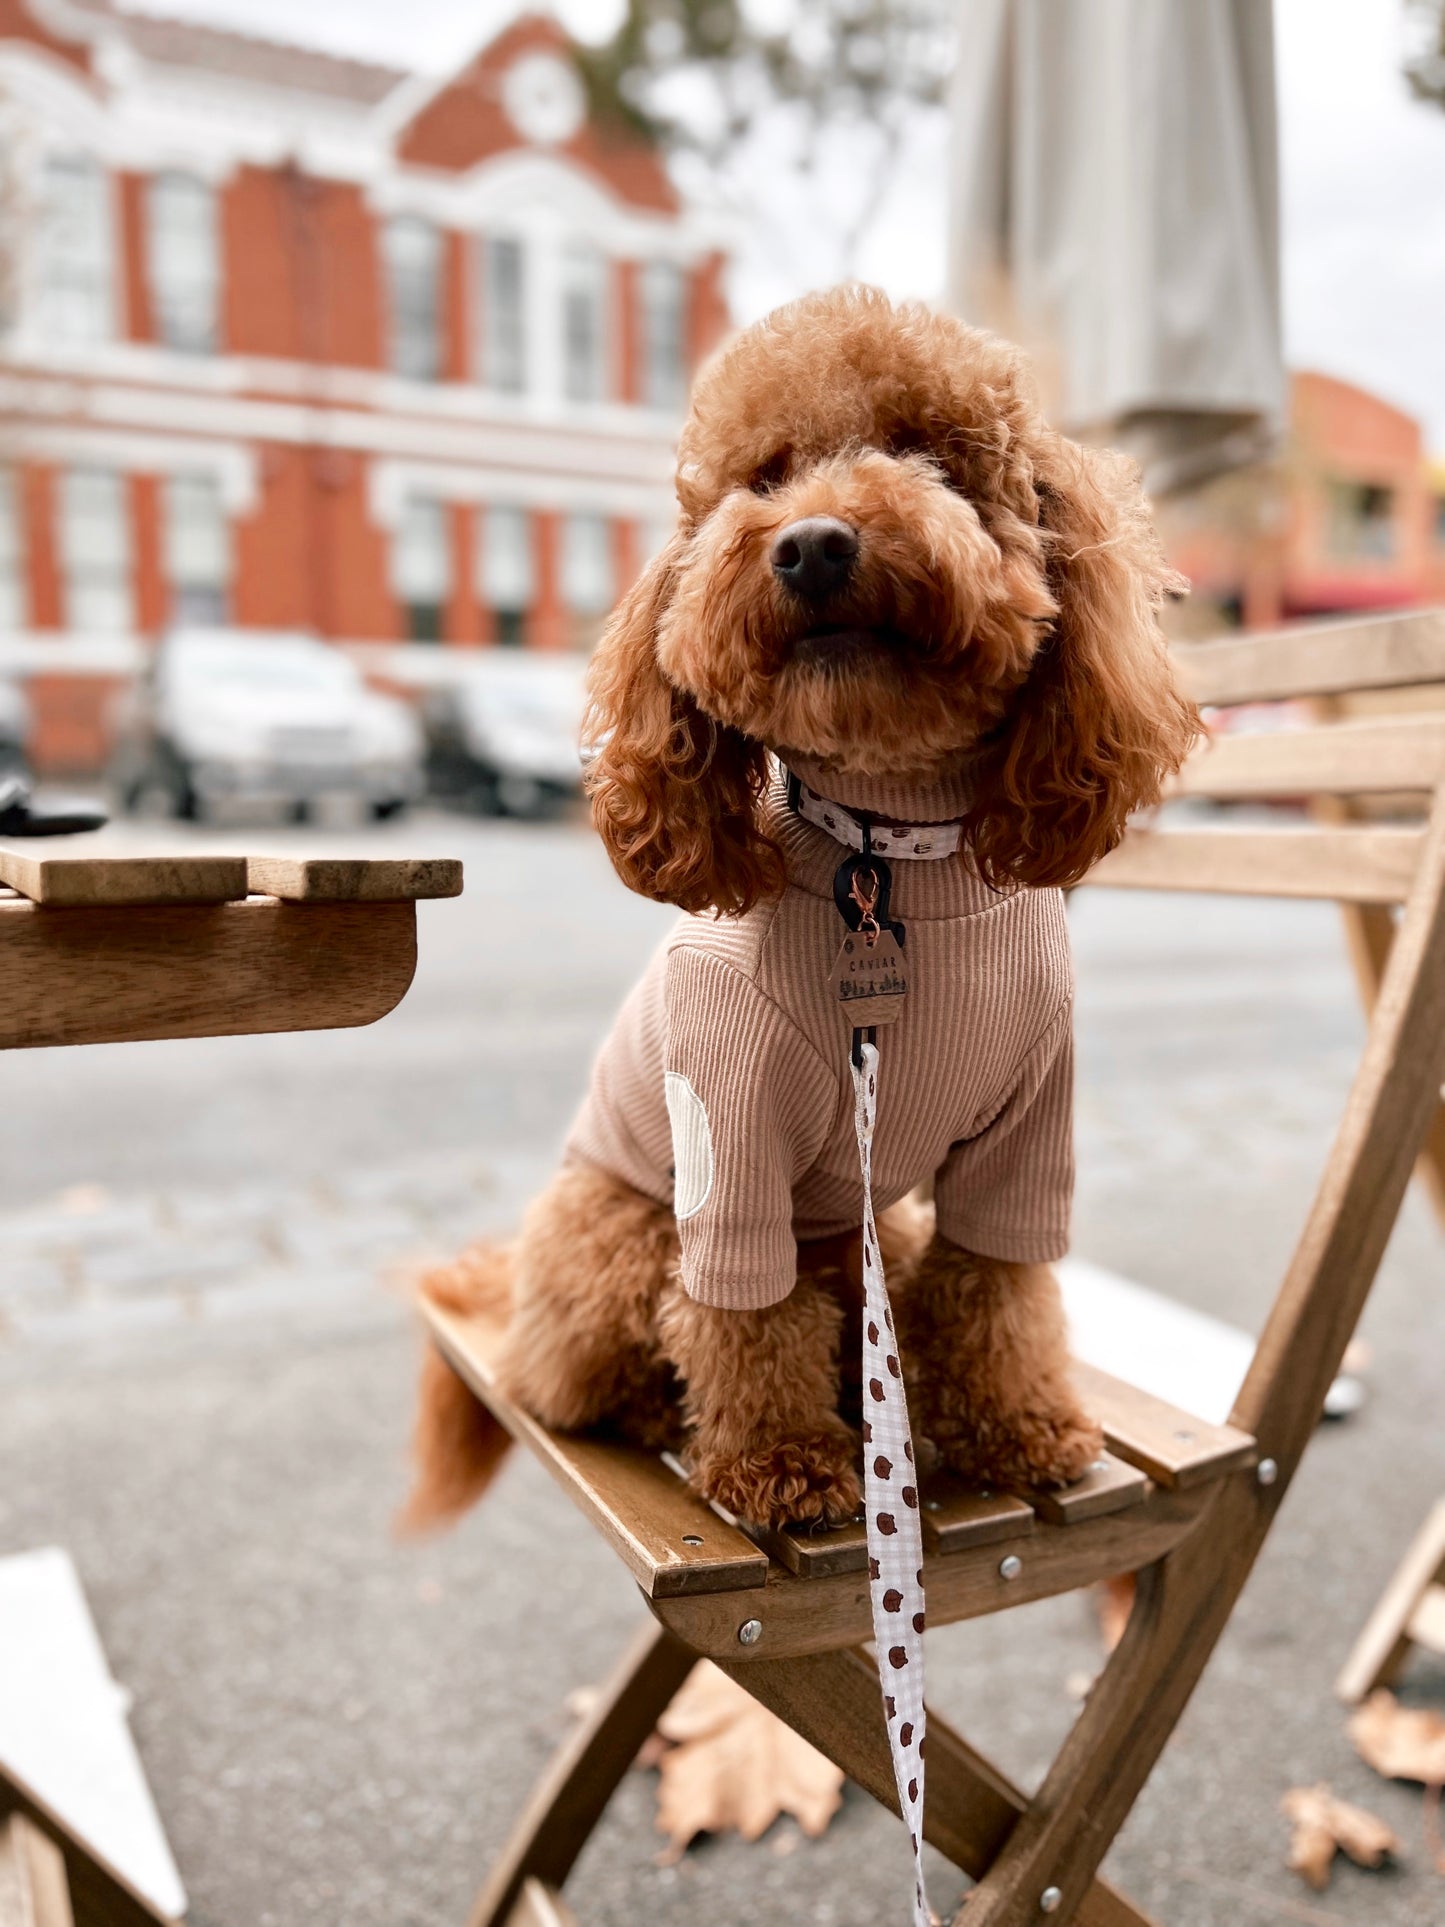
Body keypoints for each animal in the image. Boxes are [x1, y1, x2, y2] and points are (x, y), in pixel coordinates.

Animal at [408, 281, 1202, 1533]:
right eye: (764, 476)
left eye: (926, 453)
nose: (812, 542)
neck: (887, 852)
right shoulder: (730, 1127)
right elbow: (743, 1311)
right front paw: (778, 1463)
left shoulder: (1027, 1126)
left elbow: (997, 1282)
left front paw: (1018, 1425)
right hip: (617, 1232)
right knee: (591, 1369)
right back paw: (669, 1410)